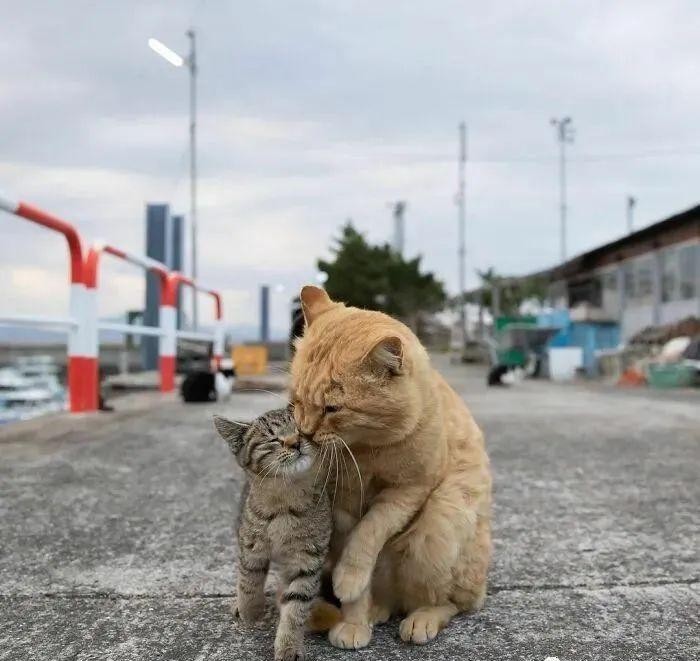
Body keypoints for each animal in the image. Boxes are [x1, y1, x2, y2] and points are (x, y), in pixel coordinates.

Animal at [215, 408, 332, 660]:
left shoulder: (307, 557)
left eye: (300, 429)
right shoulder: (251, 546)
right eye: (273, 438)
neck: (284, 503)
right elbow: (248, 580)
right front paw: (250, 610)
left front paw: (289, 645)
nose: (295, 442)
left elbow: (296, 604)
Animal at [288, 286, 490, 648]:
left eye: (332, 408)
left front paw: (349, 581)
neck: (365, 449)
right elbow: (354, 554)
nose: (305, 433)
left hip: (442, 520)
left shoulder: (408, 492)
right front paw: (354, 620)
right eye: (296, 400)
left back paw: (421, 618)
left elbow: (368, 534)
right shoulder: (340, 505)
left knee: (451, 602)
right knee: (391, 598)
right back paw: (375, 610)